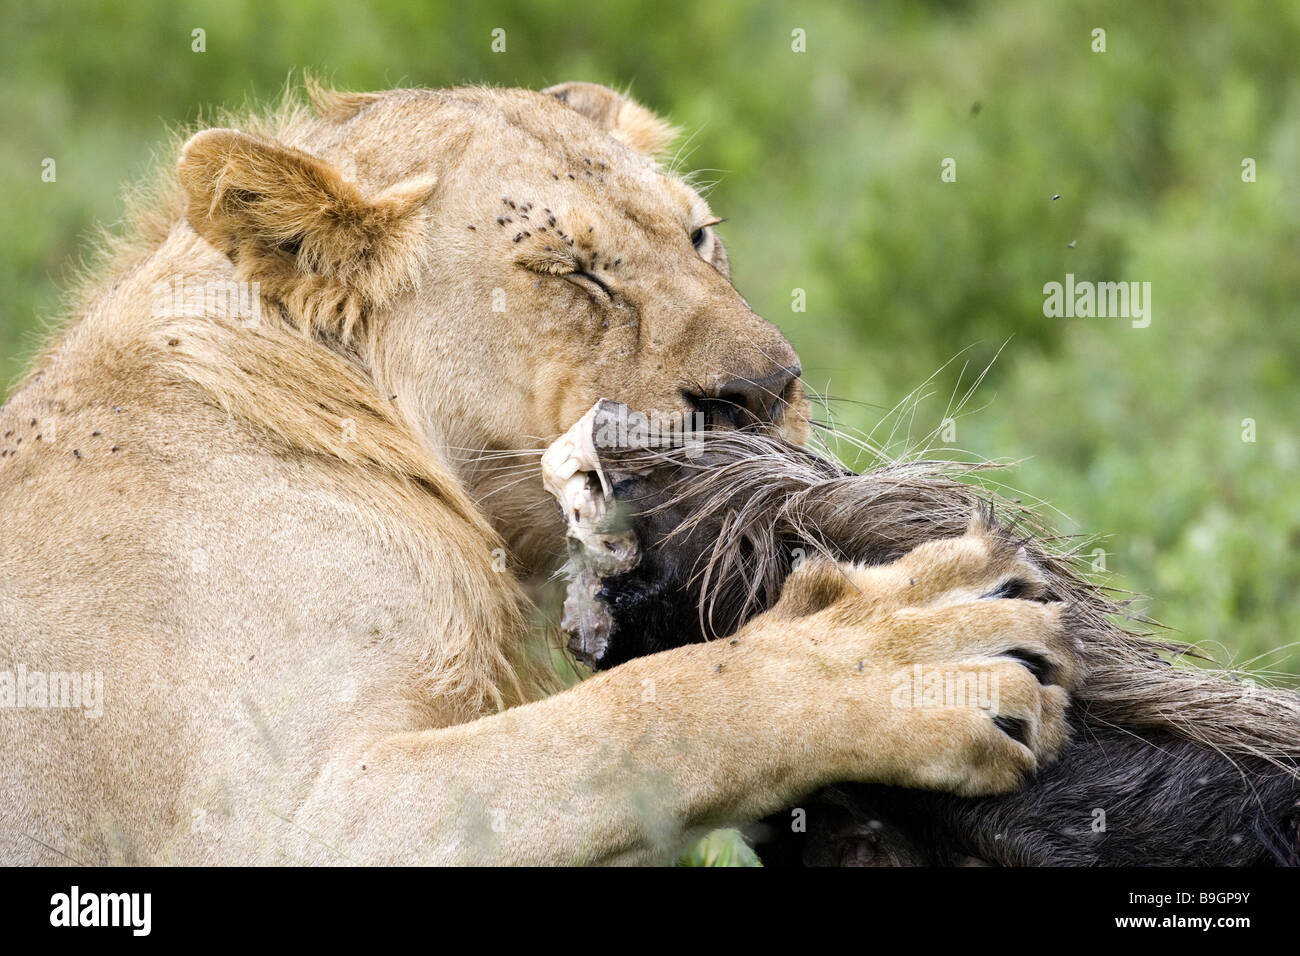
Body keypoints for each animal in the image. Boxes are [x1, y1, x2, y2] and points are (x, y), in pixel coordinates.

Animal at [0, 83, 1076, 868]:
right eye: (570, 271)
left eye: (699, 236)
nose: (770, 387)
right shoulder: (270, 821)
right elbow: (638, 714)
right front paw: (902, 654)